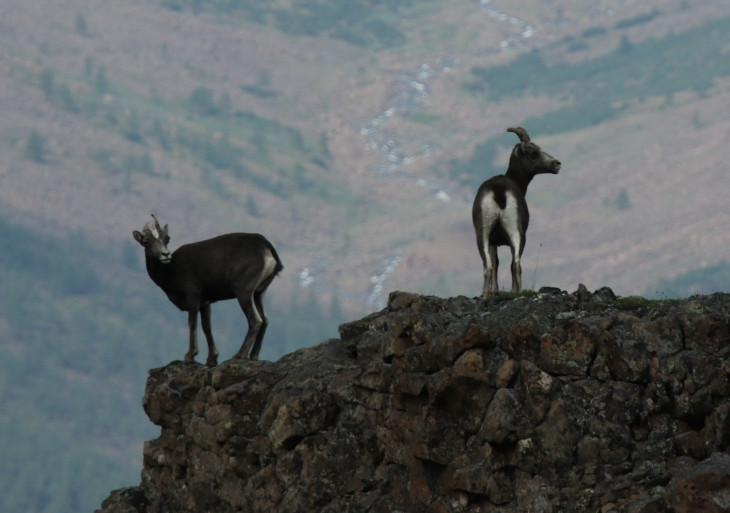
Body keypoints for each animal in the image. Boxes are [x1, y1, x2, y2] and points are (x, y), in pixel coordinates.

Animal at [131, 214, 282, 366]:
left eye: (167, 238)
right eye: (146, 241)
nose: (165, 254)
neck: (170, 271)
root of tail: (266, 246)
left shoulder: (193, 297)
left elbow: (192, 323)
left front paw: (190, 355)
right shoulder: (205, 303)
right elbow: (206, 326)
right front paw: (211, 359)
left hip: (244, 292)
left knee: (255, 320)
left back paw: (239, 355)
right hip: (259, 293)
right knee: (265, 320)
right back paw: (253, 356)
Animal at [470, 125, 560, 298]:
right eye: (534, 152)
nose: (557, 164)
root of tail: (498, 190)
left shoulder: (493, 242)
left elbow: (497, 263)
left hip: (492, 233)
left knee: (498, 265)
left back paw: (494, 294)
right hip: (506, 233)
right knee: (507, 265)